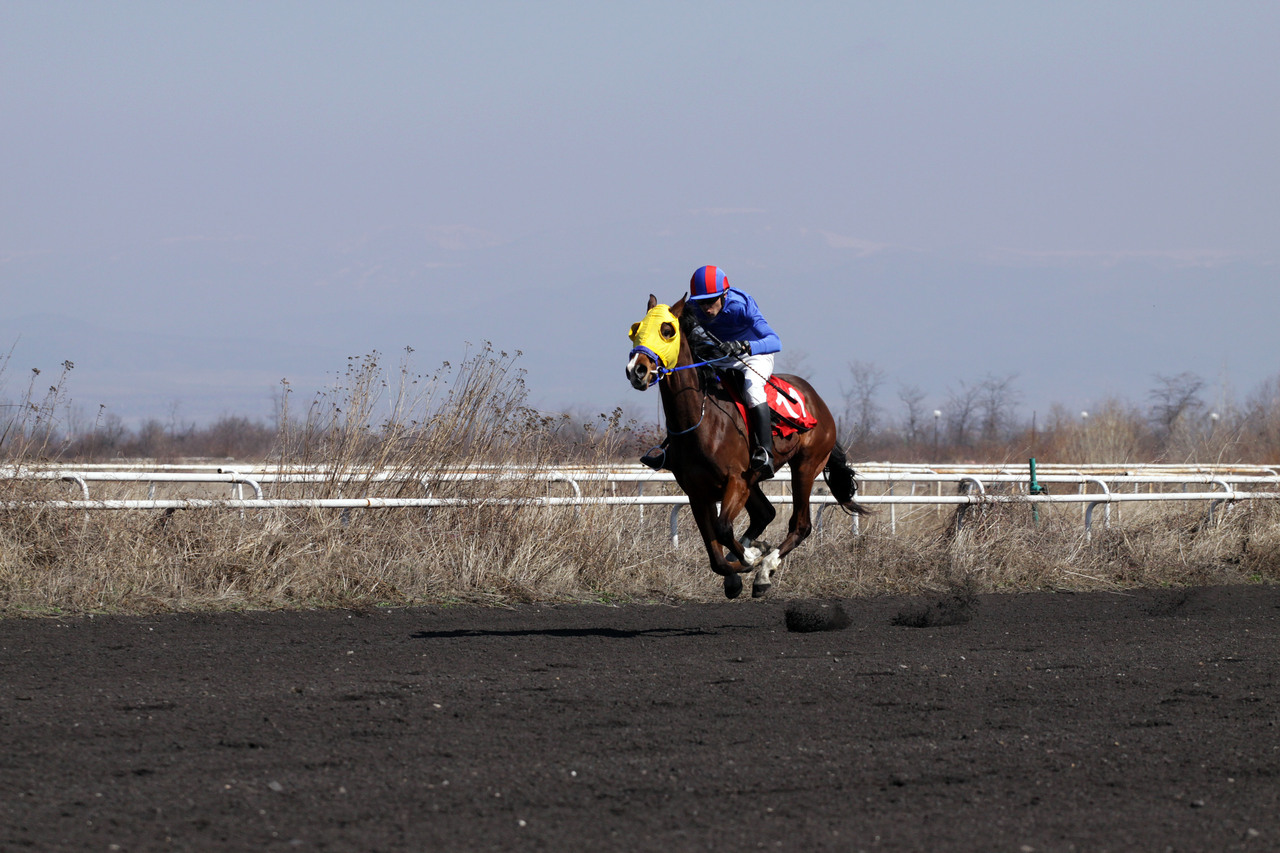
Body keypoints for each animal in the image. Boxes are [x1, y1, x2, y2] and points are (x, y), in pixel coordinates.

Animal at [626, 294, 867, 599]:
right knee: (766, 513)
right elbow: (715, 552)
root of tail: (817, 400)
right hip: (755, 478)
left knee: (800, 525)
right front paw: (737, 570)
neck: (701, 419)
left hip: (805, 465)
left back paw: (765, 570)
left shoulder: (735, 482)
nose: (637, 370)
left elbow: (723, 529)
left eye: (667, 330)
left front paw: (751, 557)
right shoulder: (697, 491)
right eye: (635, 329)